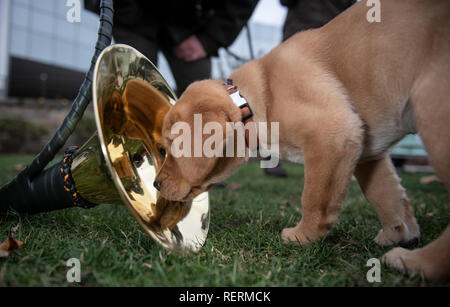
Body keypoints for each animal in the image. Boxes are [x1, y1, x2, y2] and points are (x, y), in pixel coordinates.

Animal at [156, 0, 450, 280]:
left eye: (172, 145)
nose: (156, 184)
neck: (254, 98)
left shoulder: (332, 134)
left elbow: (314, 196)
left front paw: (304, 235)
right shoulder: (368, 150)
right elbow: (385, 194)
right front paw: (398, 233)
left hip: (432, 112)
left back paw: (414, 262)